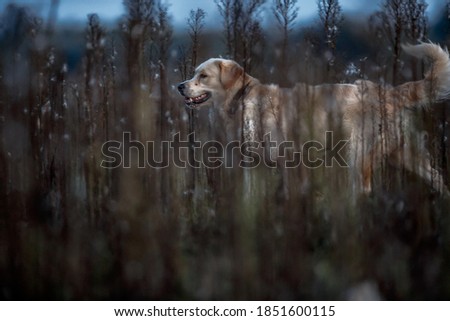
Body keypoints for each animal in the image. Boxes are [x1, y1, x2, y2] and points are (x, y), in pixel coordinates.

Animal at [178, 43, 450, 195]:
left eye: (203, 76)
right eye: (193, 73)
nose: (180, 86)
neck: (240, 101)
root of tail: (388, 91)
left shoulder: (289, 162)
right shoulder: (254, 166)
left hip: (358, 154)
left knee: (363, 189)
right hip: (406, 154)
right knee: (440, 180)